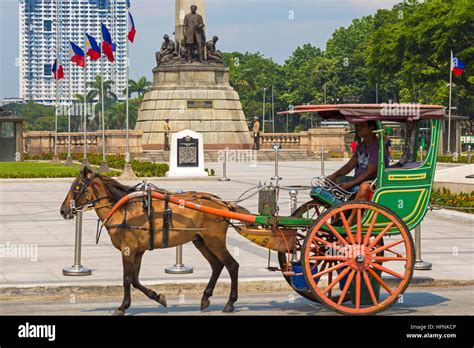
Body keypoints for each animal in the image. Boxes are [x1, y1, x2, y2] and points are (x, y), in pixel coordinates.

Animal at [61, 166, 250, 316]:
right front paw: (158, 297)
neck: (121, 210)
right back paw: (205, 298)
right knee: (217, 265)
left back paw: (230, 303)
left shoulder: (128, 250)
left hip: (214, 240)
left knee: (232, 265)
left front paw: (122, 306)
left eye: (76, 187)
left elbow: (127, 279)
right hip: (200, 240)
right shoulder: (138, 251)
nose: (63, 210)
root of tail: (224, 204)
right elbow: (135, 280)